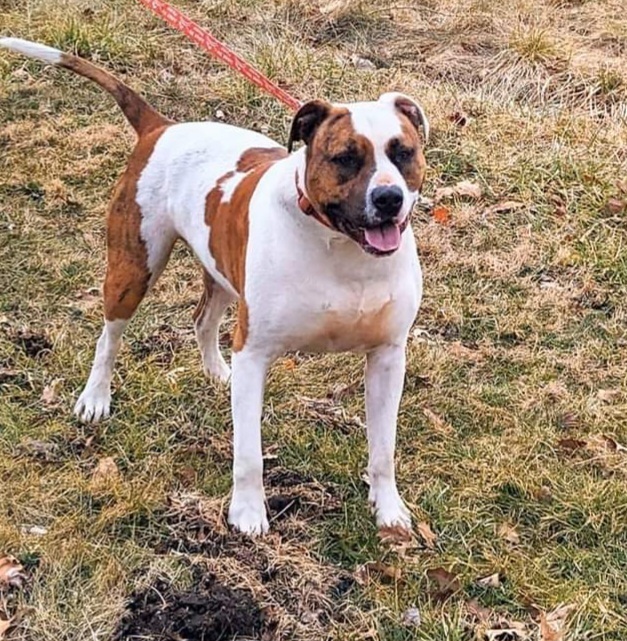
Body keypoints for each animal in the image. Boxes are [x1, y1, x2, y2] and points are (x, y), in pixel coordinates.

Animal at [0, 35, 430, 536]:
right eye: (345, 158)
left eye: (403, 153)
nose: (389, 197)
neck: (342, 249)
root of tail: (161, 127)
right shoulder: (256, 351)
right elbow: (249, 453)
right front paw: (247, 513)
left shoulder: (387, 358)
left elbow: (383, 448)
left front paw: (389, 510)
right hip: (132, 269)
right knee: (110, 337)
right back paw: (95, 398)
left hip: (221, 270)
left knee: (202, 319)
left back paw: (216, 373)